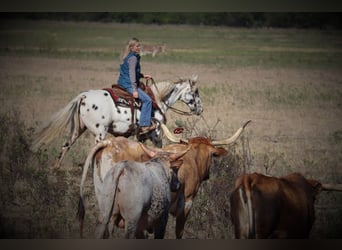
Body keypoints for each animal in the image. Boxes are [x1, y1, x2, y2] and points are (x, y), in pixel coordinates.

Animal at [30, 74, 203, 168]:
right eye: (195, 92)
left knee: (66, 145)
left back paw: (56, 167)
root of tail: (83, 97)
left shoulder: (141, 135)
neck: (158, 100)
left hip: (78, 129)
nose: (200, 109)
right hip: (100, 132)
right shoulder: (156, 132)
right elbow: (159, 147)